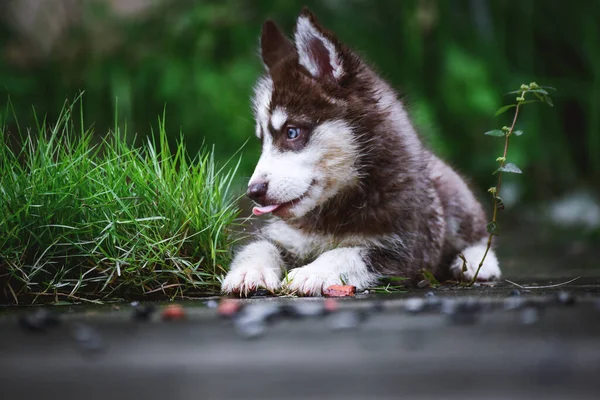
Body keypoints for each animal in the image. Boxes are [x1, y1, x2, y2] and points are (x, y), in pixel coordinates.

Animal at [220, 7, 502, 296]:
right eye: (262, 140)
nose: (253, 192)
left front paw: (312, 272)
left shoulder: (401, 250)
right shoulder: (283, 236)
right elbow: (258, 246)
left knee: (480, 235)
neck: (335, 208)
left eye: (291, 132)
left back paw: (476, 263)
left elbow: (348, 253)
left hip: (455, 199)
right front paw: (249, 271)